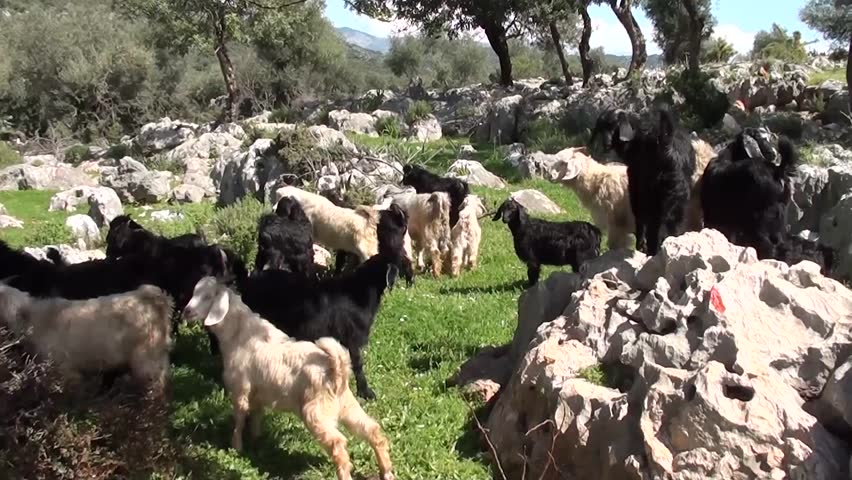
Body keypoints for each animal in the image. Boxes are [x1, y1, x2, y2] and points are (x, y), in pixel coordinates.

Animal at [183, 277, 394, 480]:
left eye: (207, 296)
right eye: (194, 291)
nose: (186, 311)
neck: (241, 335)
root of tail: (336, 368)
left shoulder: (240, 388)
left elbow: (240, 418)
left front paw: (236, 446)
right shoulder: (258, 393)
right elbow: (257, 416)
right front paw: (256, 440)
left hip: (316, 412)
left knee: (338, 443)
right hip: (346, 405)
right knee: (372, 430)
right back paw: (387, 472)